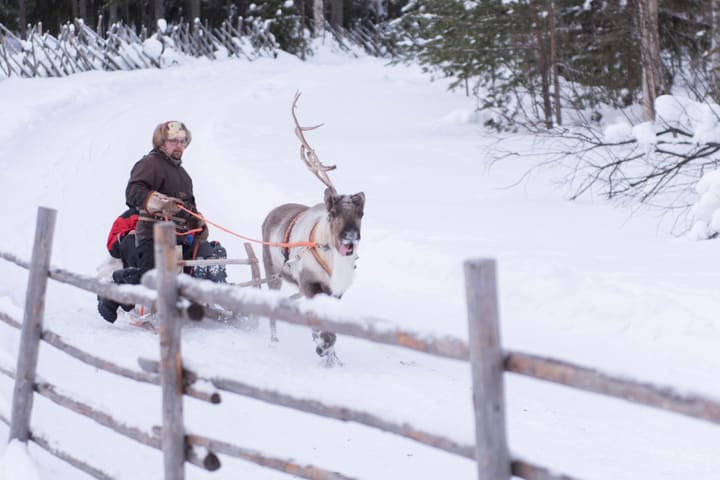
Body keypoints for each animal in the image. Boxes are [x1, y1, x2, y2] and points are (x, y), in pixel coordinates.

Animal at [261, 92, 365, 367]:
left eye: (361, 214)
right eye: (332, 214)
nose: (351, 237)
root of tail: (271, 212)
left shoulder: (336, 292)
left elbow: (331, 328)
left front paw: (332, 356)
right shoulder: (309, 284)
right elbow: (323, 329)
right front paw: (323, 350)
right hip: (271, 271)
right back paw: (274, 341)